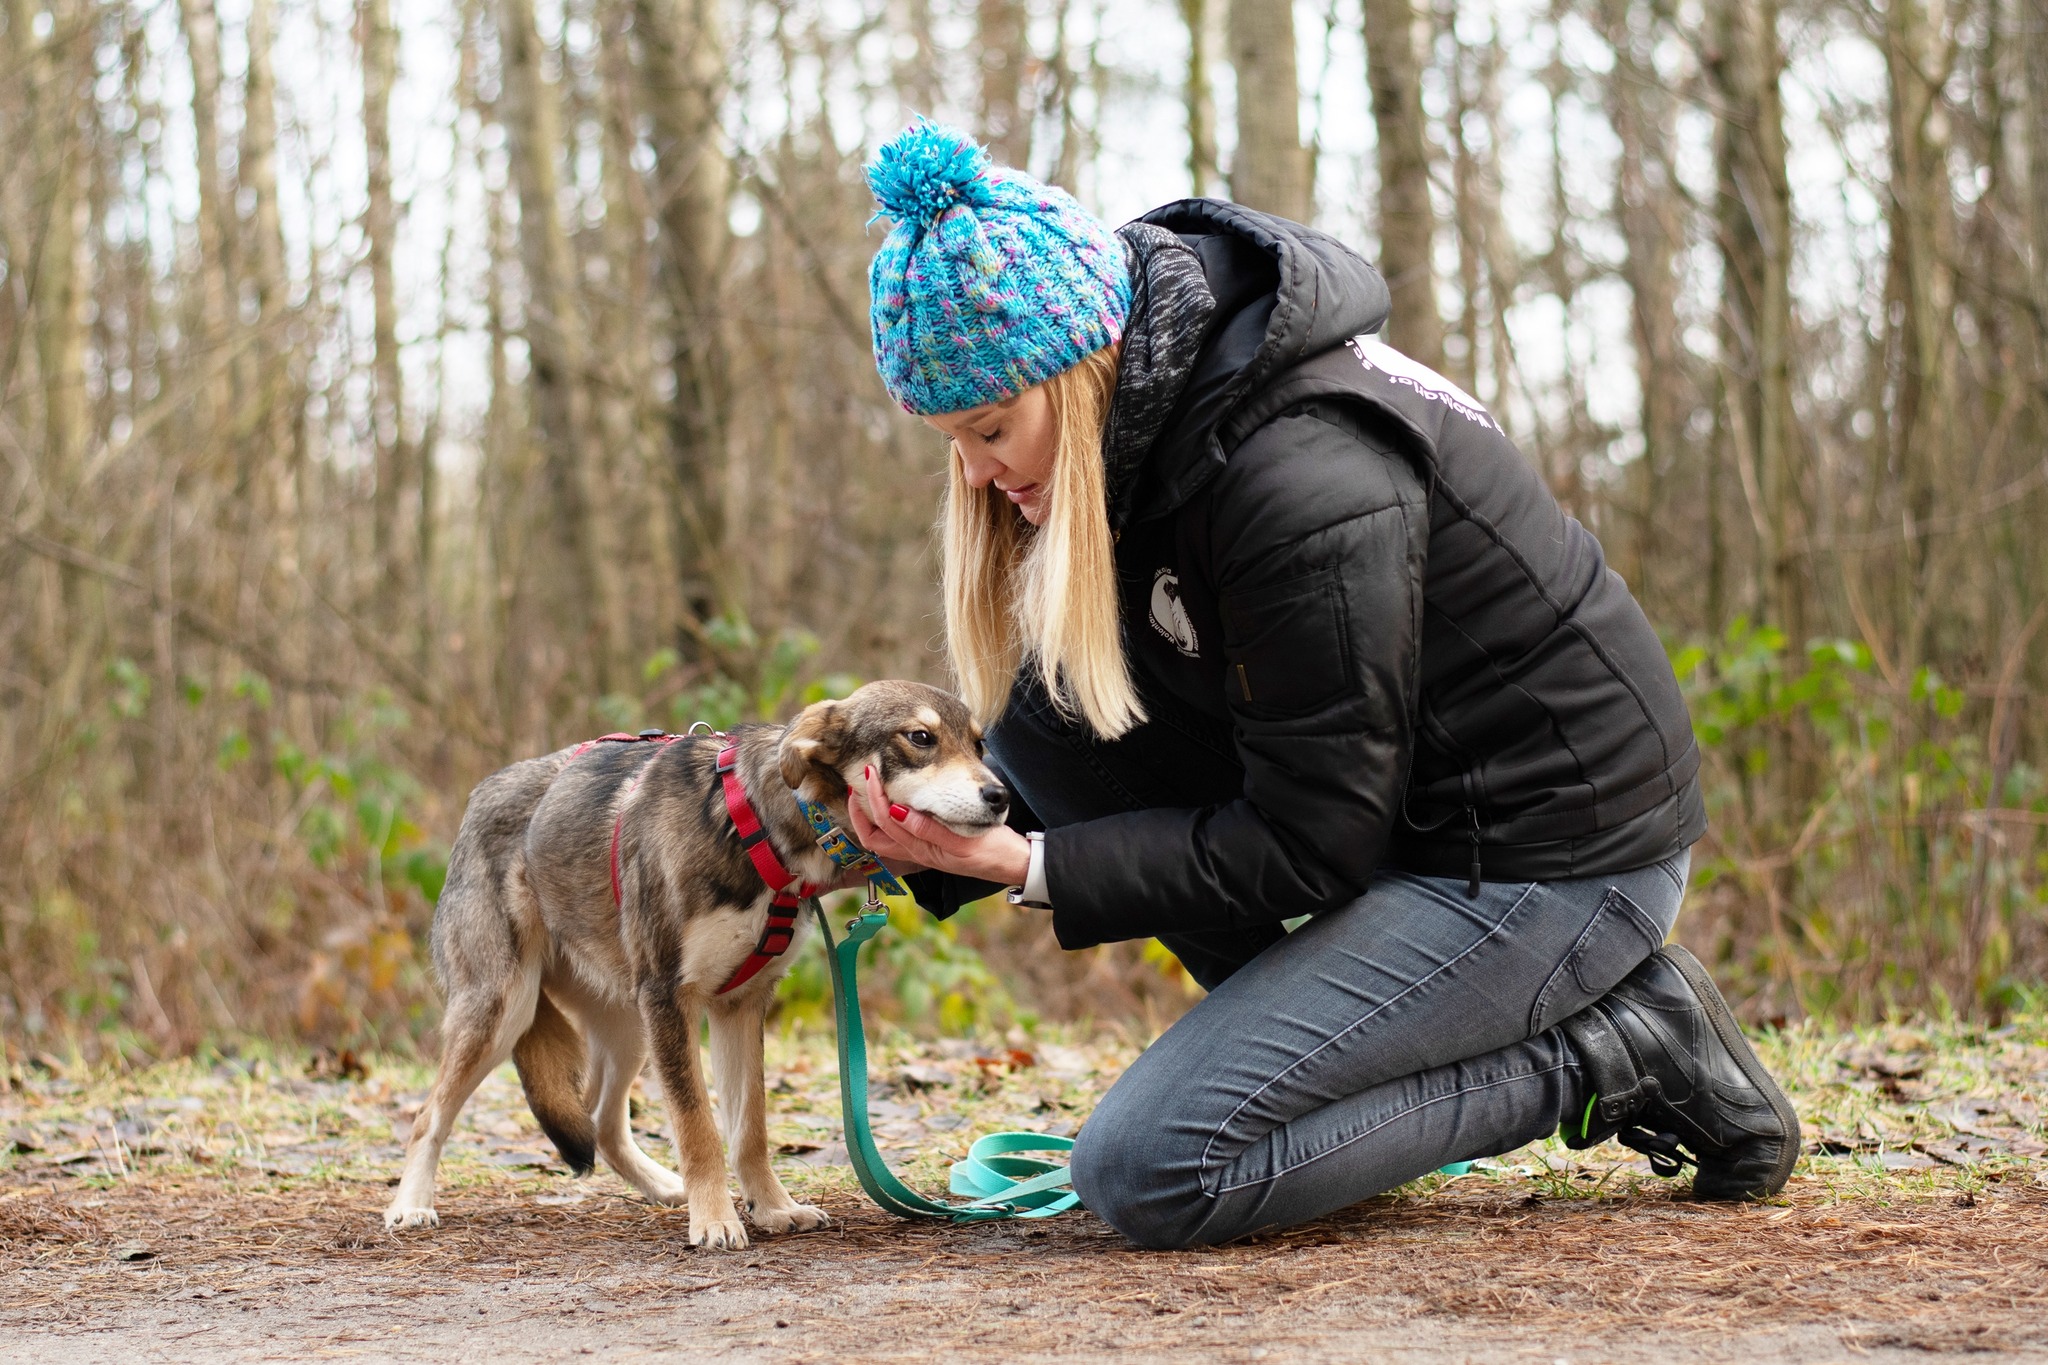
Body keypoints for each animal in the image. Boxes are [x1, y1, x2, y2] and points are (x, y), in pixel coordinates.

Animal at [385, 683, 1007, 1252]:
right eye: (920, 738)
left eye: (979, 744)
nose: (1001, 795)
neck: (751, 823)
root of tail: (482, 794)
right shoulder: (671, 998)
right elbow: (698, 1128)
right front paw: (714, 1221)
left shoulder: (740, 1004)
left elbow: (749, 1128)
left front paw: (772, 1207)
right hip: (506, 1010)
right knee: (428, 1116)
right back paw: (411, 1205)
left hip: (630, 1029)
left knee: (601, 1120)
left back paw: (665, 1186)